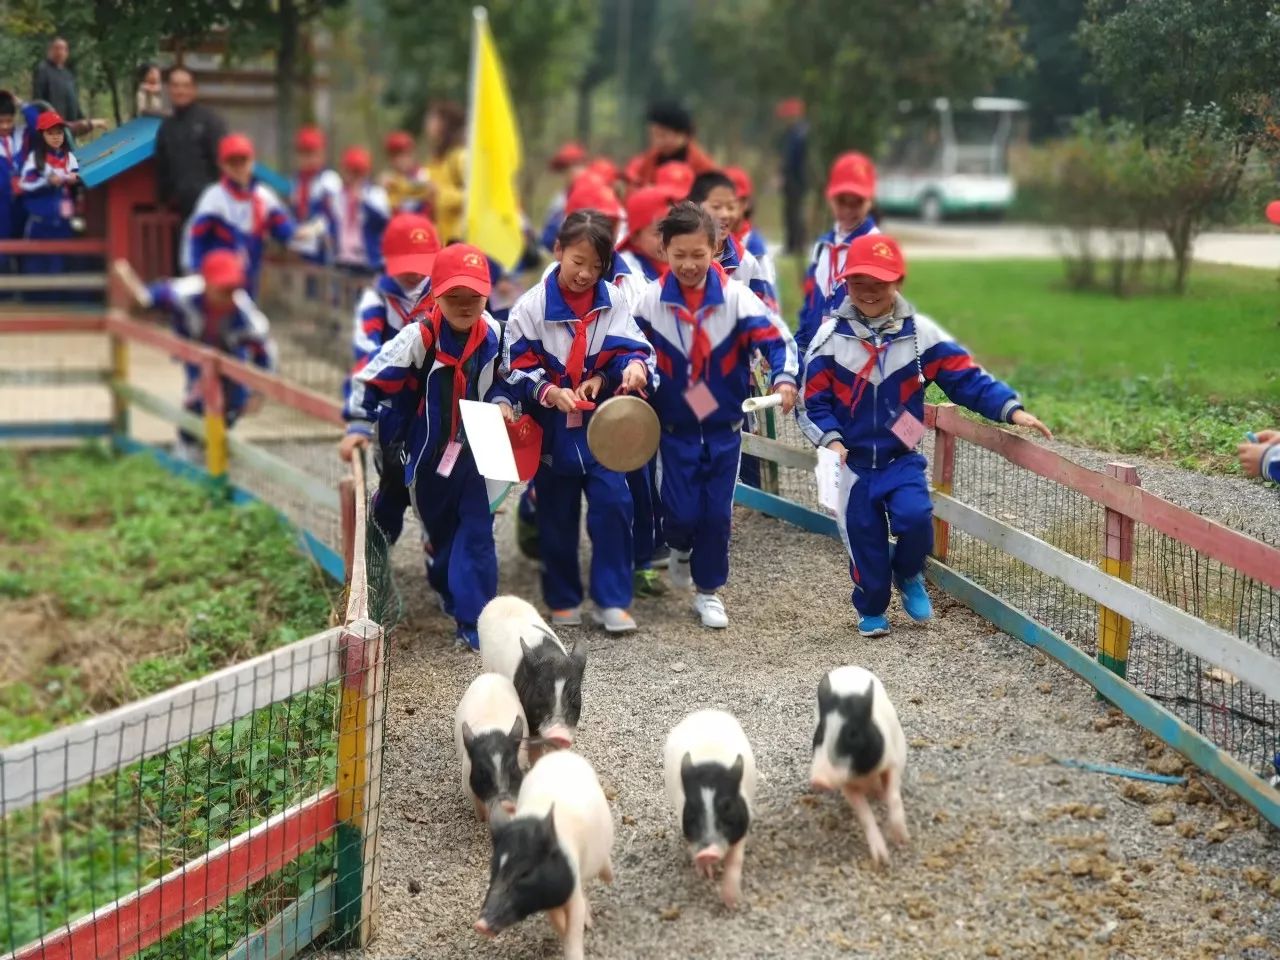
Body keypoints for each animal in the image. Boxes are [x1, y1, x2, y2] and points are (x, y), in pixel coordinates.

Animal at [453, 670, 527, 824]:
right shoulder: (468, 786)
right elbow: (479, 810)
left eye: (513, 767)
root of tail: (490, 675)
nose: (504, 805)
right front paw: (482, 820)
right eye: (482, 772)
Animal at [476, 752, 614, 960]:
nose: (480, 925)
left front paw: (583, 930)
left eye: (525, 873)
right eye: (493, 870)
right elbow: (558, 921)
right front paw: (574, 928)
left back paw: (609, 879)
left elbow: (574, 926)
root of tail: (559, 754)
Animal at [665, 706, 752, 911]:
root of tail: (705, 712)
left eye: (728, 806)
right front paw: (706, 875)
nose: (708, 853)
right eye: (691, 811)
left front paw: (733, 903)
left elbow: (735, 859)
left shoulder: (743, 823)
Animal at [808, 670, 911, 865]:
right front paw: (881, 859)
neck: (863, 774)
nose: (819, 781)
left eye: (853, 734)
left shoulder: (891, 762)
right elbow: (864, 816)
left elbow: (894, 797)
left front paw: (901, 839)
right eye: (820, 732)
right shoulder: (847, 786)